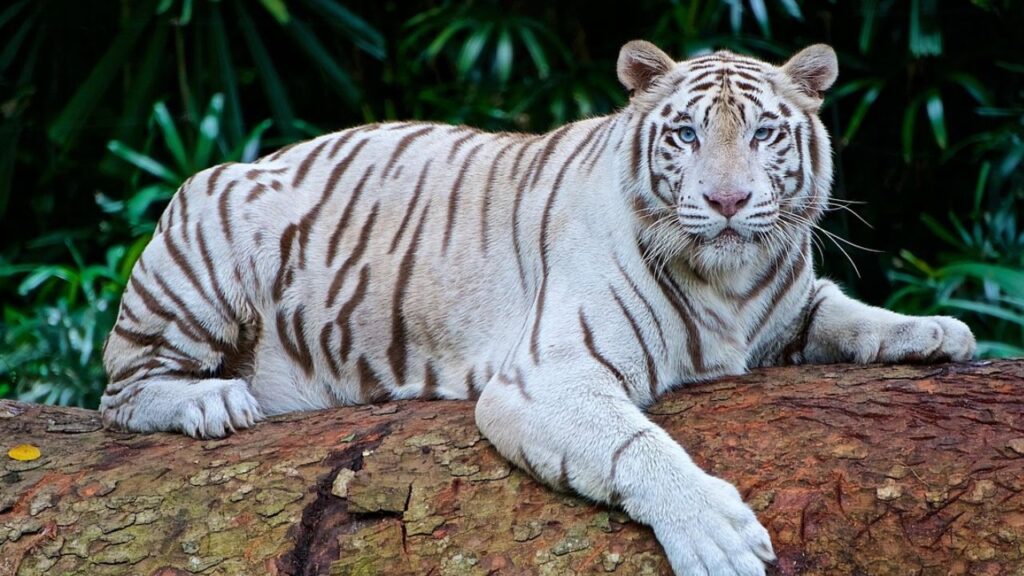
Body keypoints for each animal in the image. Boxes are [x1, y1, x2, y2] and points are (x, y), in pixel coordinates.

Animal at [100, 41, 976, 575]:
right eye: (686, 135)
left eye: (763, 133)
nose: (728, 202)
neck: (730, 283)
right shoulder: (551, 376)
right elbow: (638, 446)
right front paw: (715, 533)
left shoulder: (788, 306)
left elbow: (848, 312)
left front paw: (936, 331)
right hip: (206, 229)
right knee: (121, 391)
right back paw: (212, 402)